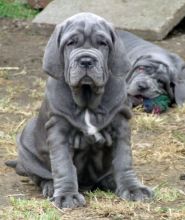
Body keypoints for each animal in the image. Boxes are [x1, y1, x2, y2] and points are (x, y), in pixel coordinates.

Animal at [6, 12, 152, 209]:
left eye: (102, 43)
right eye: (70, 43)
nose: (86, 60)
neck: (87, 98)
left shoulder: (121, 126)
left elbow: (124, 160)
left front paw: (133, 188)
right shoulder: (58, 131)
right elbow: (63, 166)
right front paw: (67, 196)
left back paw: (111, 181)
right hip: (26, 145)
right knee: (41, 177)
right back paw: (51, 186)